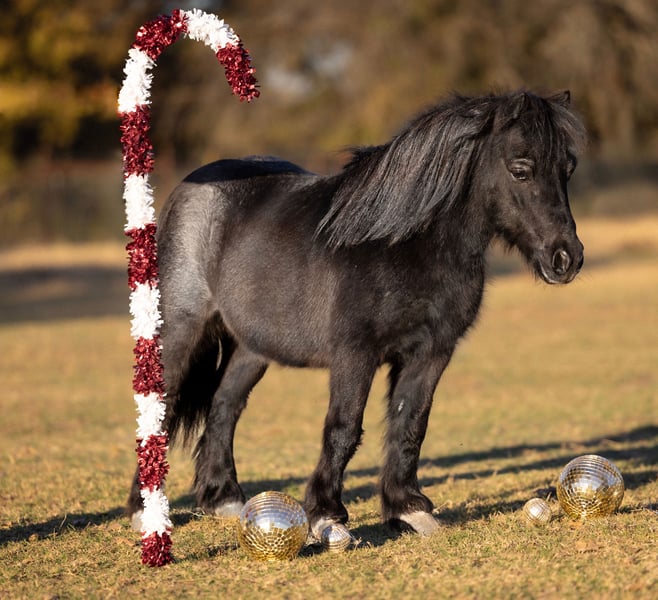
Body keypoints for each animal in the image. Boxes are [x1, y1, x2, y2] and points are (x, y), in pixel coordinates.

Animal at [127, 89, 586, 538]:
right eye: (521, 169)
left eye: (568, 168)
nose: (566, 259)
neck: (400, 244)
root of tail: (191, 188)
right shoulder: (355, 354)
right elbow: (344, 427)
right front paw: (327, 516)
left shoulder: (432, 352)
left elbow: (410, 424)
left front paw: (408, 509)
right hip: (182, 327)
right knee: (162, 404)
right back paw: (144, 510)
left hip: (253, 347)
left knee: (225, 405)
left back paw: (223, 498)